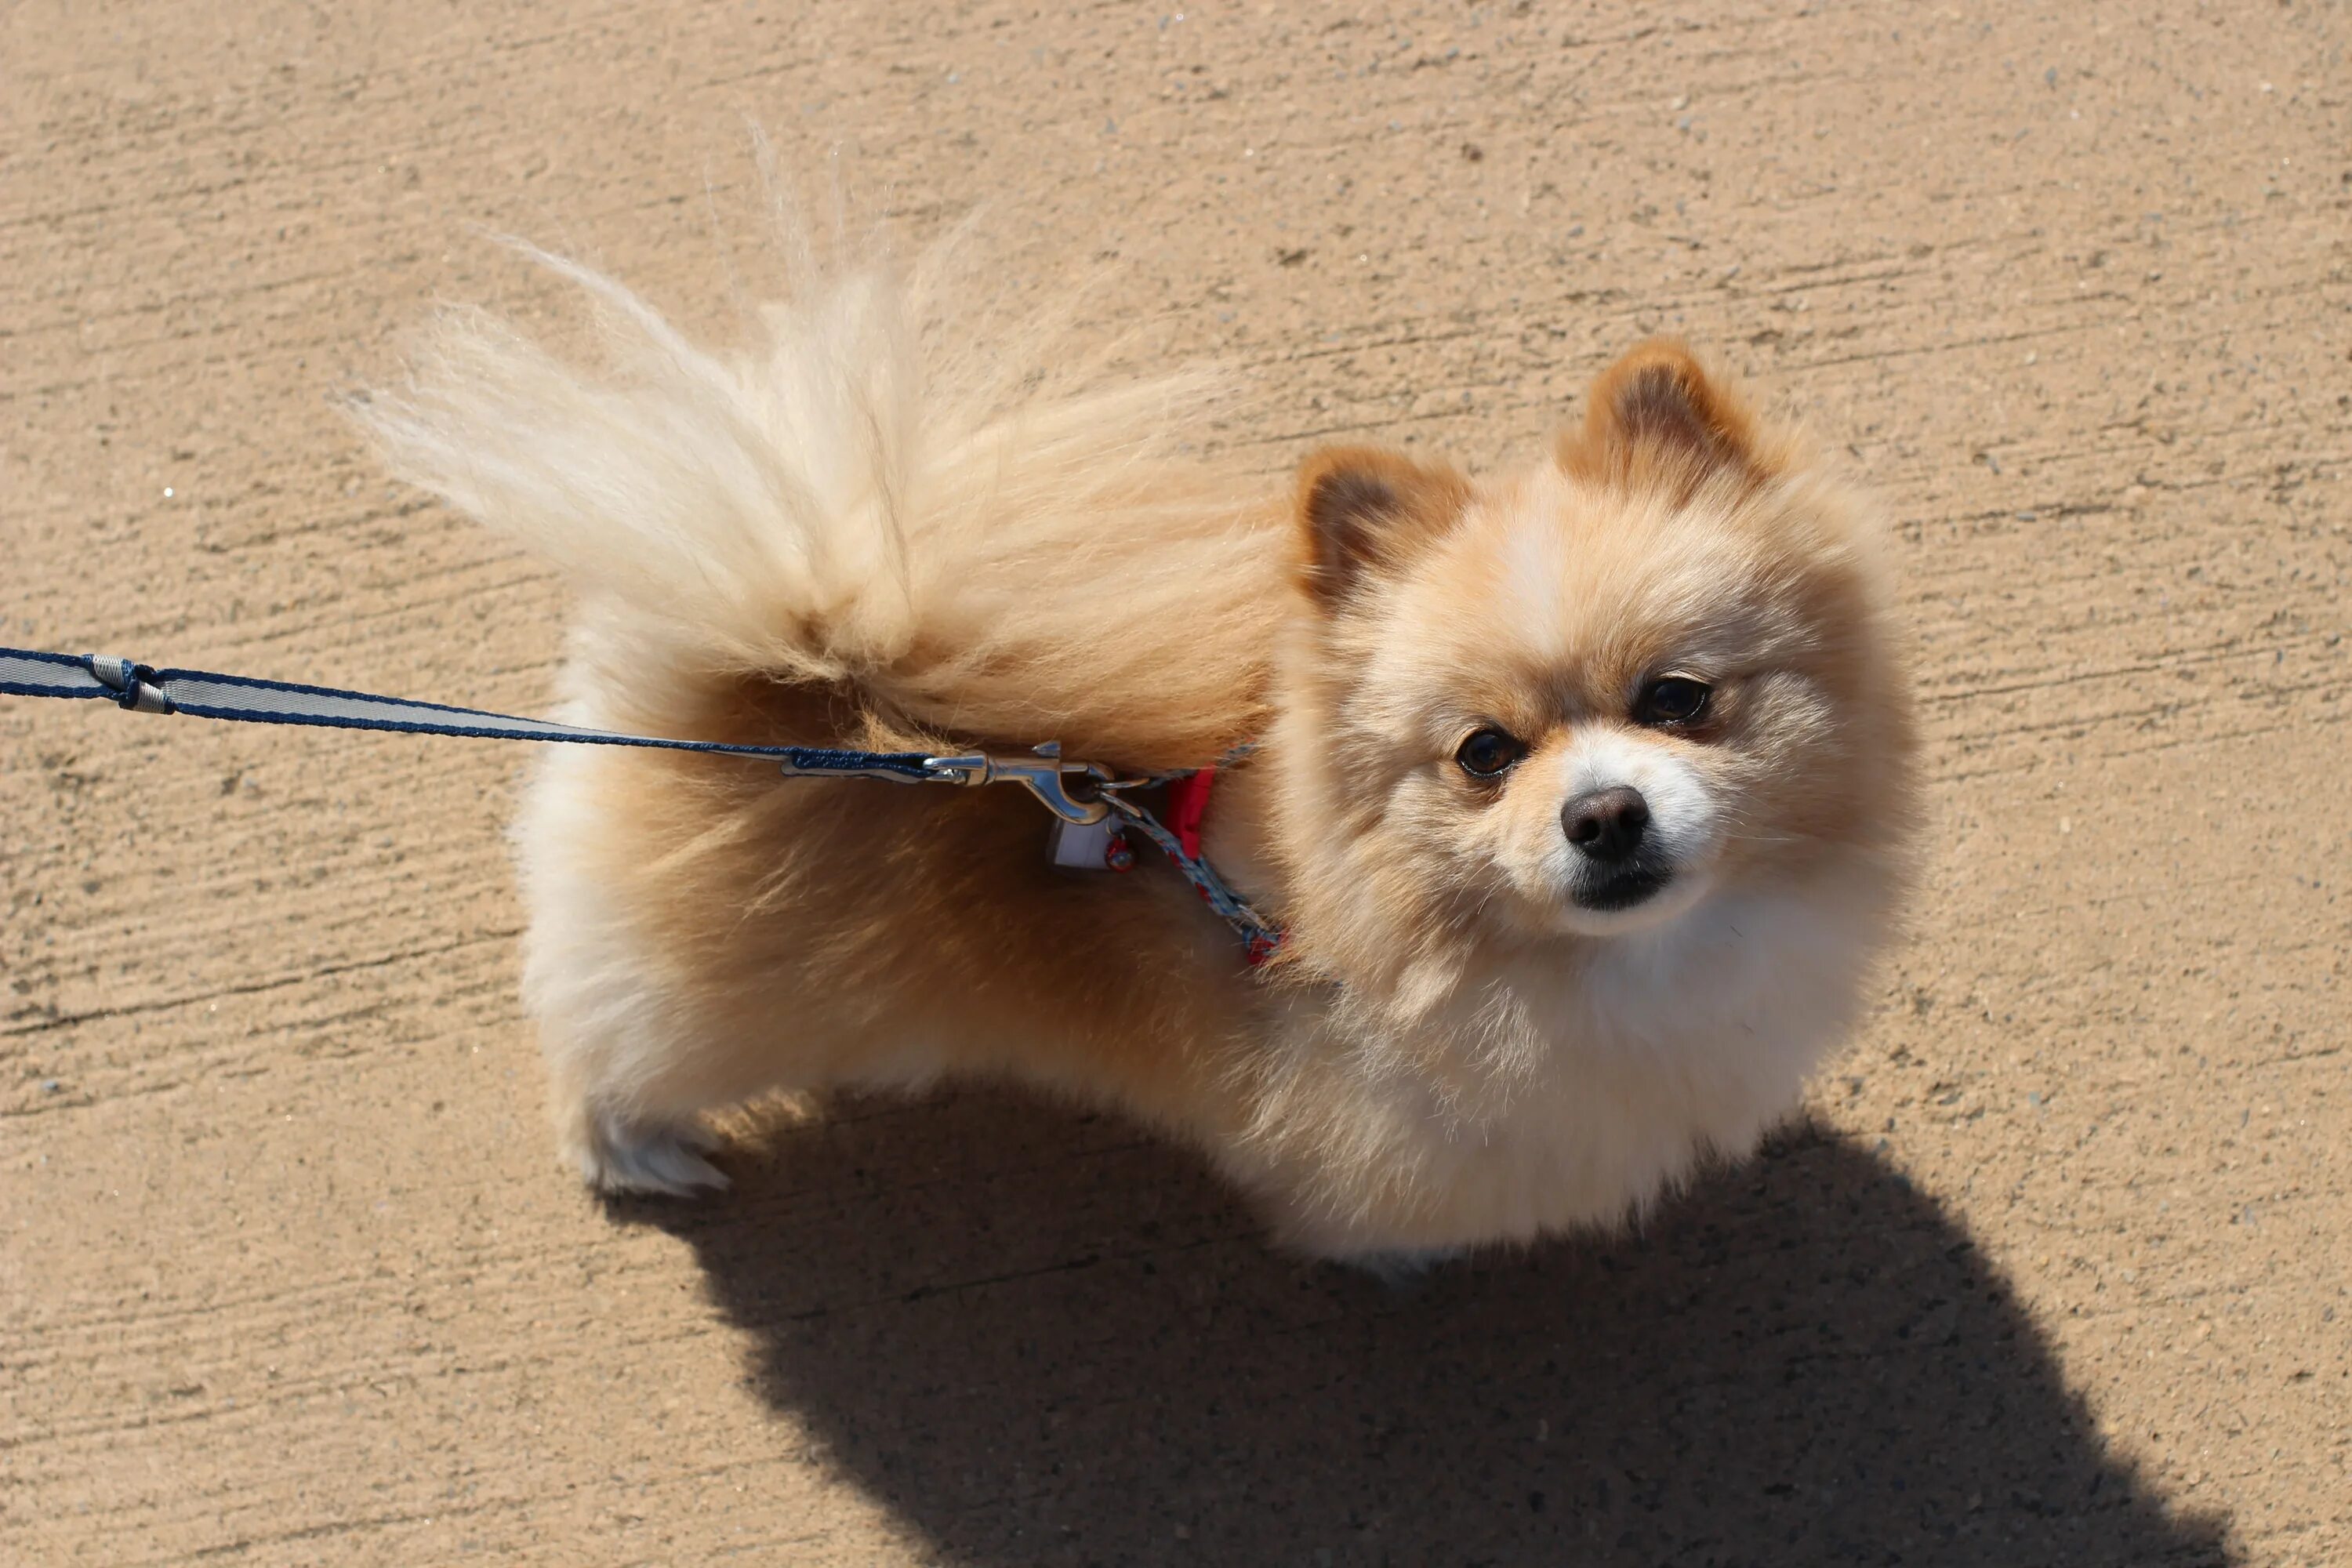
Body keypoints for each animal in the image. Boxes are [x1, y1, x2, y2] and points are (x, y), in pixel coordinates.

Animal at [362, 241, 1910, 1260]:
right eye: (1484, 754)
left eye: (1680, 699)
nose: (1601, 816)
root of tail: (782, 657)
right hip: (713, 996)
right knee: (599, 1038)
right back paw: (635, 1151)